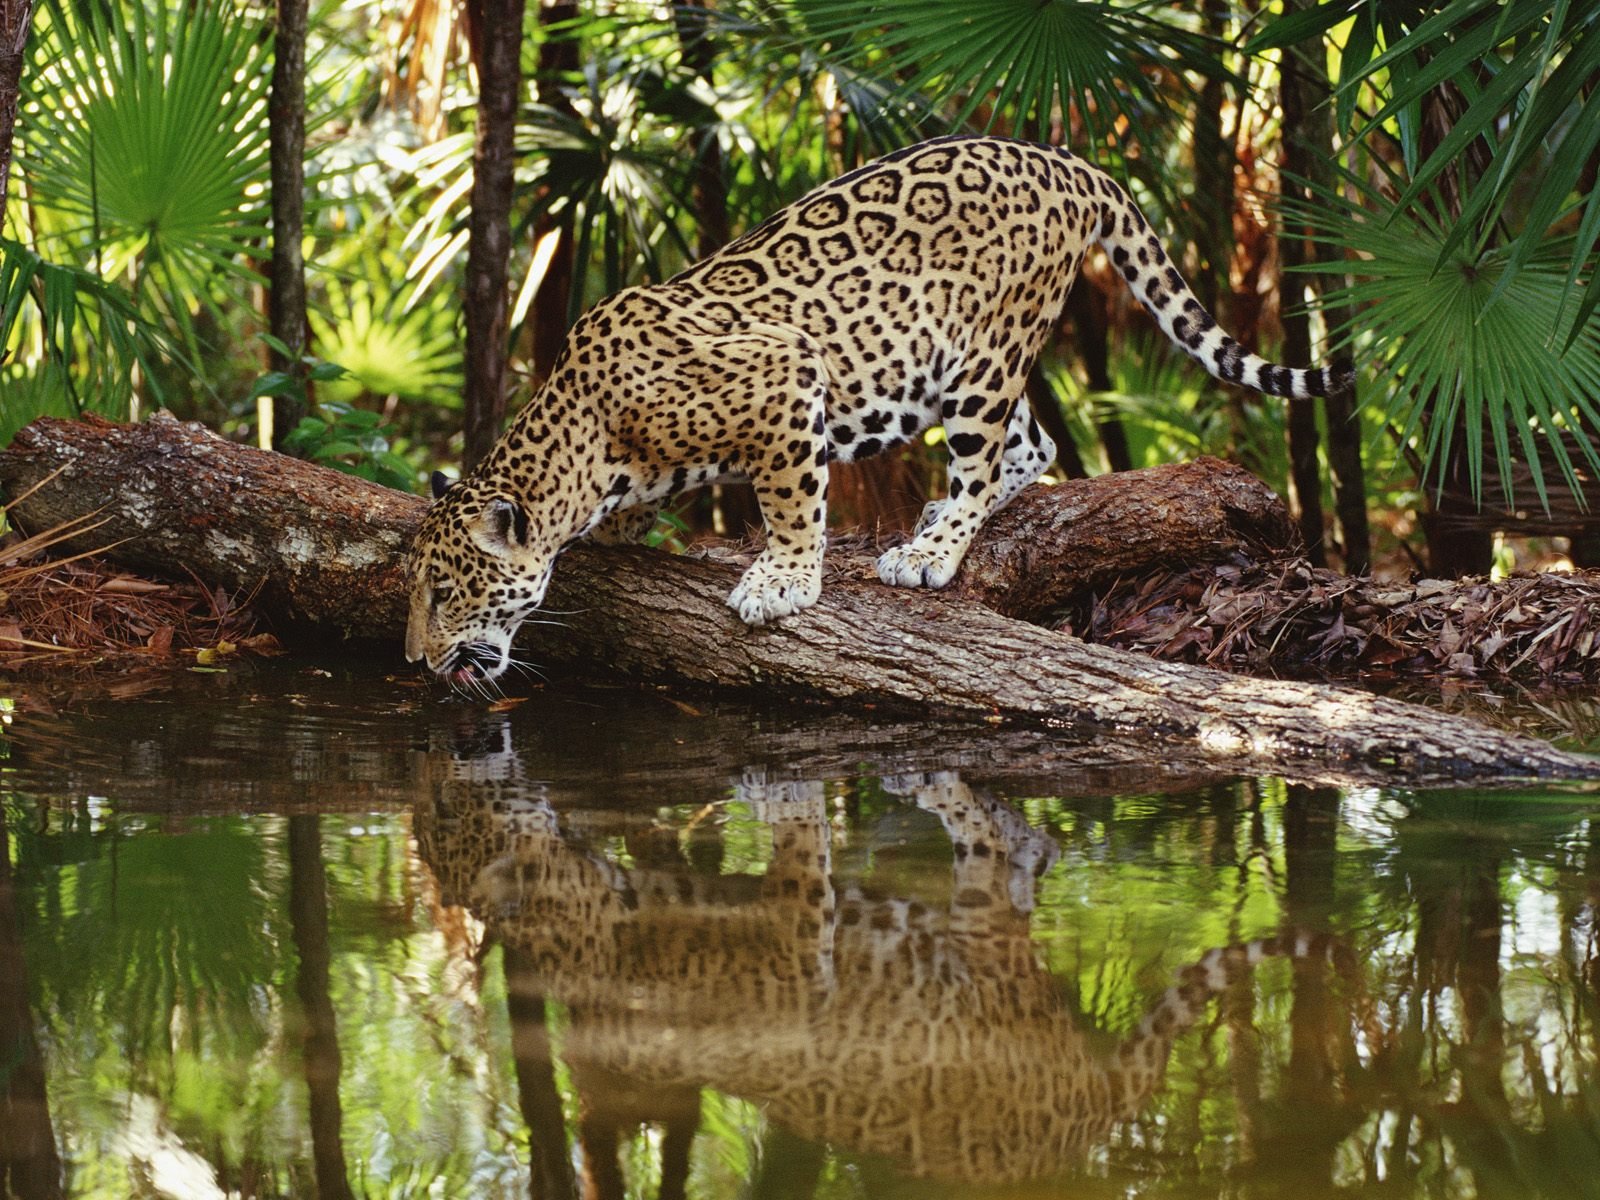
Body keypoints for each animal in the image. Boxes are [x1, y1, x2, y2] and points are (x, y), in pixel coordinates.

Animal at [405, 134, 1353, 686]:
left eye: (447, 591)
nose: (416, 659)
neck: (585, 436)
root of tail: (1067, 160)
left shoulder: (786, 374)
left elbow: (791, 500)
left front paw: (783, 579)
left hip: (984, 355)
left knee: (986, 454)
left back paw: (931, 550)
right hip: (950, 364)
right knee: (1037, 443)